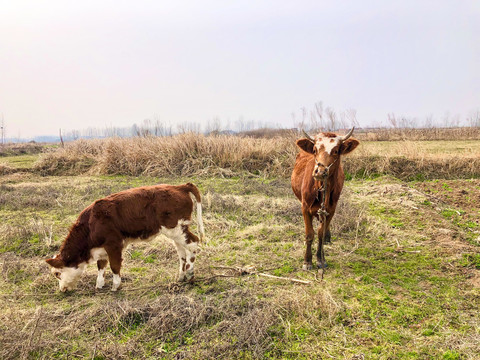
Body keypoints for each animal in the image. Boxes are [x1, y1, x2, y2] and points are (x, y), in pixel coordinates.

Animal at [47, 184, 206, 292]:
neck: (91, 223)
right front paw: (99, 285)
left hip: (176, 228)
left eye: (57, 273)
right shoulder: (101, 248)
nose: (62, 289)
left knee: (193, 243)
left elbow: (114, 265)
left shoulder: (114, 244)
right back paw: (181, 276)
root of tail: (180, 186)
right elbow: (101, 266)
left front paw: (115, 286)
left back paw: (190, 273)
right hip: (176, 232)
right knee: (182, 252)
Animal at [290, 128, 358, 268]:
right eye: (314, 150)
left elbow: (320, 233)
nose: (320, 172)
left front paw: (320, 258)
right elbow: (309, 234)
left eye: (336, 151)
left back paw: (328, 236)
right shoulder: (305, 207)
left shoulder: (331, 209)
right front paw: (307, 261)